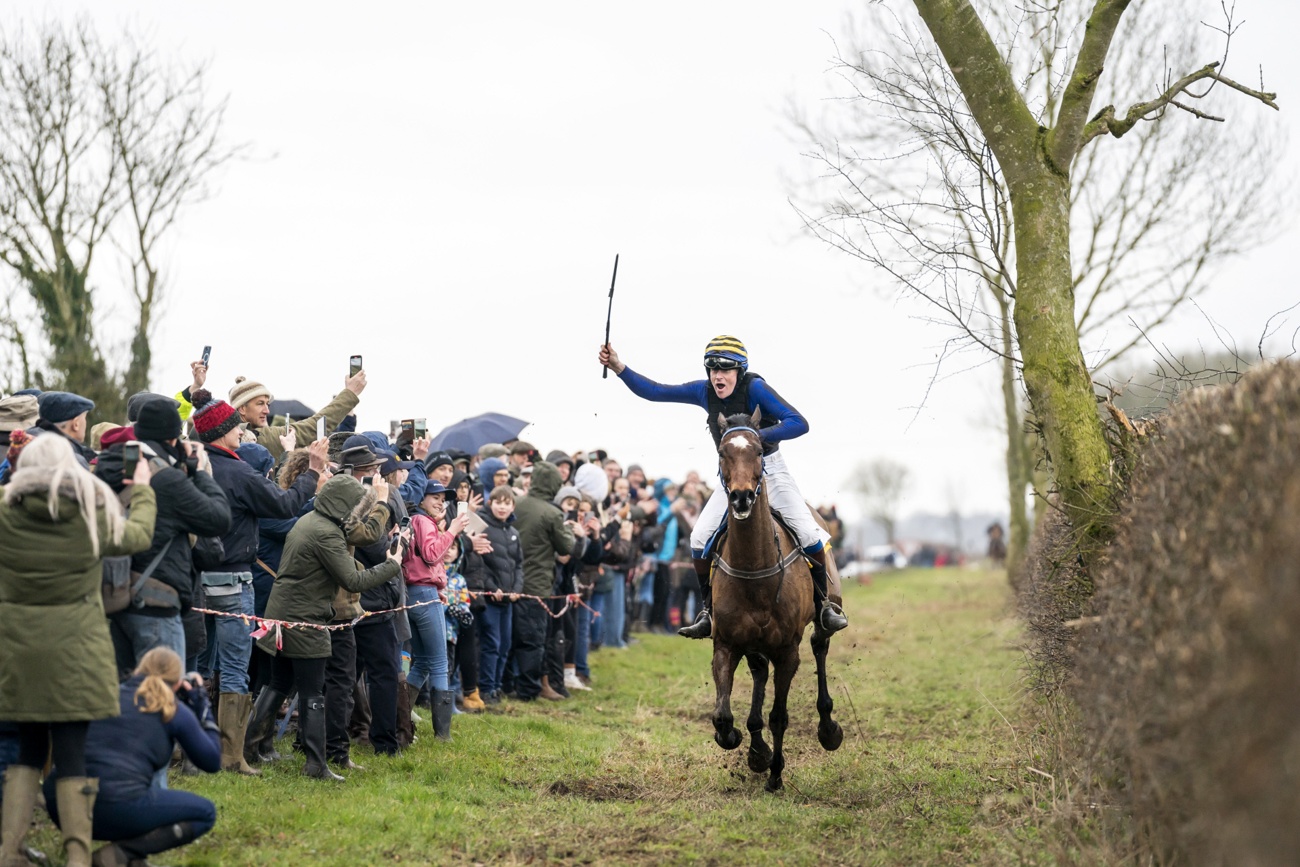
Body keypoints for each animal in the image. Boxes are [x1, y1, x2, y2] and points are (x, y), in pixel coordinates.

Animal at [707, 408, 847, 795]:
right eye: (723, 452)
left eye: (758, 451)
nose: (741, 497)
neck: (755, 566)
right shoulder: (726, 643)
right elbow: (722, 716)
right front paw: (748, 746)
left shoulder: (787, 651)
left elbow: (779, 716)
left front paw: (775, 775)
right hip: (754, 644)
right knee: (758, 672)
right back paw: (757, 747)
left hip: (824, 613)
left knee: (820, 645)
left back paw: (828, 728)